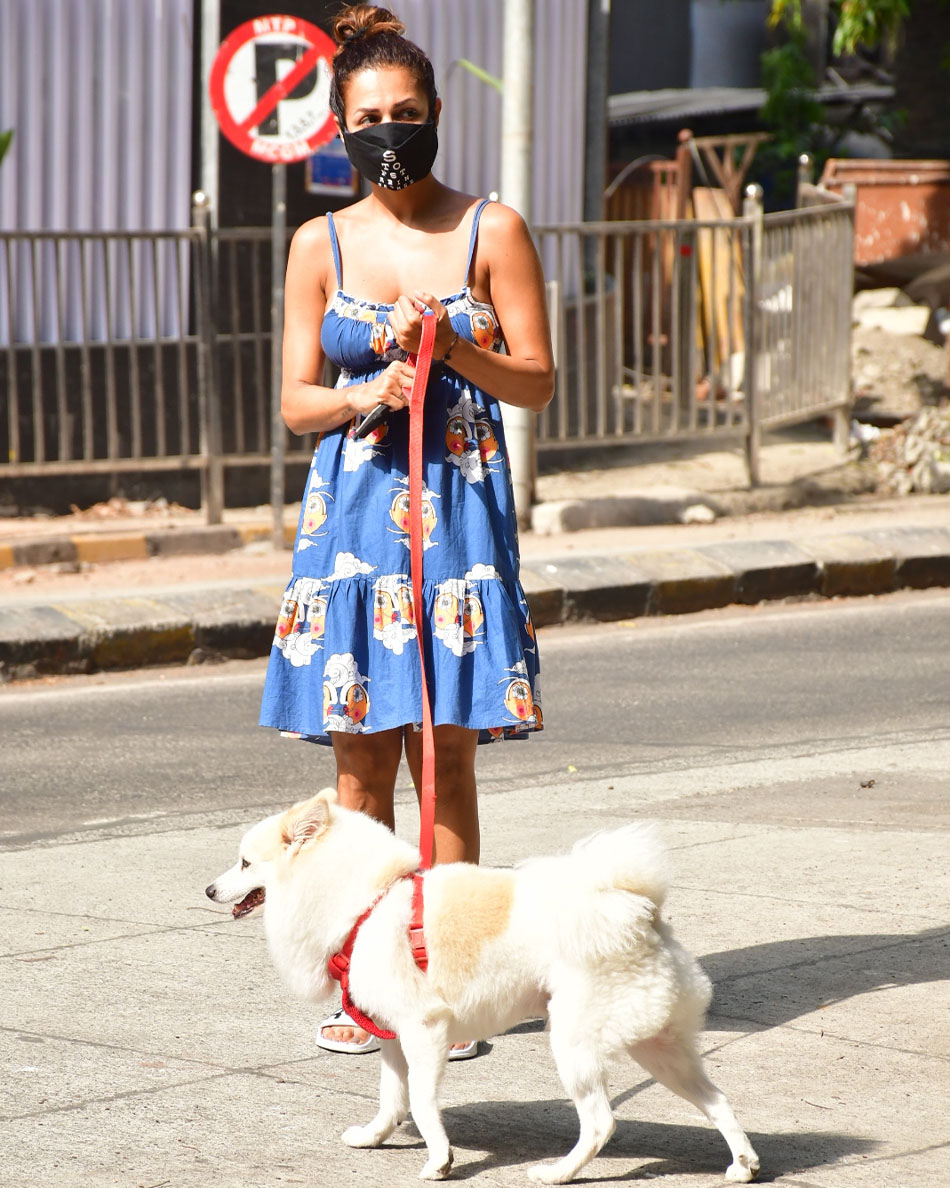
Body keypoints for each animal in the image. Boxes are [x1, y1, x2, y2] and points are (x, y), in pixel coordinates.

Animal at [206, 788, 759, 1183]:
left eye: (245, 863)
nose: (209, 889)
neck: (368, 901)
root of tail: (638, 910)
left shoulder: (425, 1030)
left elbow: (422, 1103)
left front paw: (439, 1160)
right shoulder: (393, 1036)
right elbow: (392, 1098)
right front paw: (375, 1136)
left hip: (575, 1044)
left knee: (601, 1122)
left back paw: (558, 1173)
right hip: (657, 1047)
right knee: (717, 1099)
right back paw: (743, 1164)